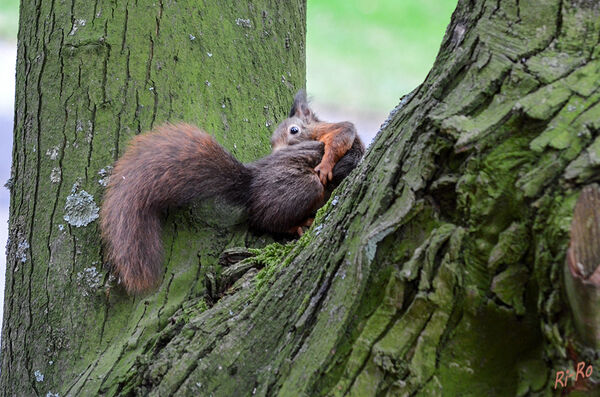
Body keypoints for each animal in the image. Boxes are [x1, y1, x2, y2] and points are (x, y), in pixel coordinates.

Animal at [99, 90, 364, 294]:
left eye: (294, 131)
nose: (278, 152)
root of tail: (251, 184)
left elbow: (342, 134)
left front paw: (328, 161)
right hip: (306, 187)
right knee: (264, 221)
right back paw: (297, 225)